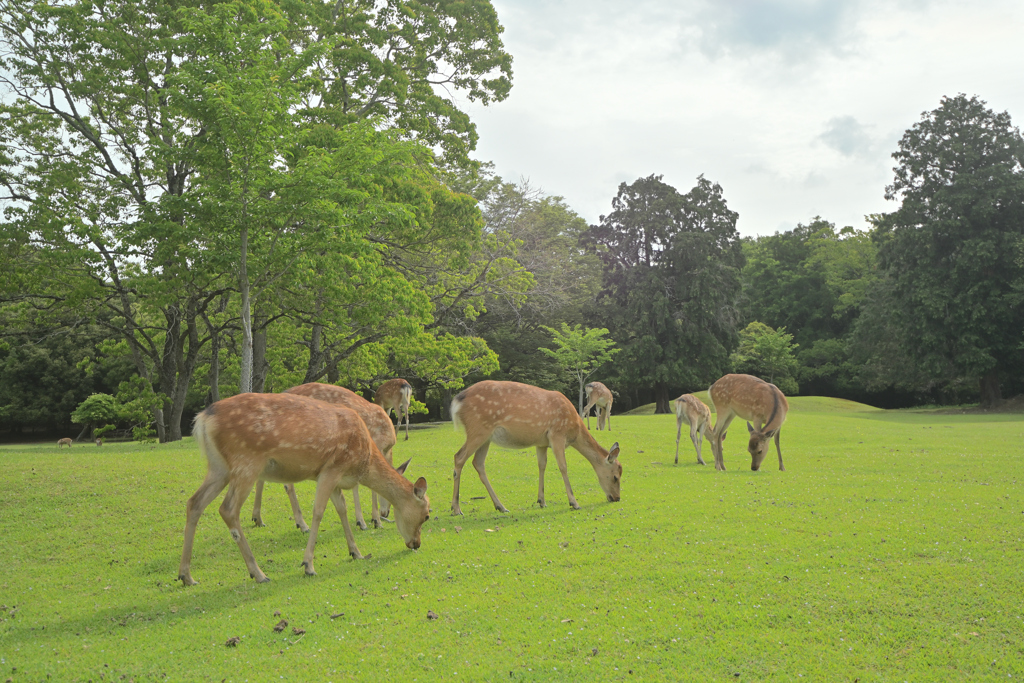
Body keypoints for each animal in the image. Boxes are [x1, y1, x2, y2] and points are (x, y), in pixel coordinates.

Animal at [180, 393, 428, 585]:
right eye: (426, 515)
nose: (416, 544)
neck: (363, 461)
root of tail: (202, 419)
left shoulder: (335, 476)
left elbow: (342, 509)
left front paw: (356, 552)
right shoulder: (331, 468)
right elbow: (319, 512)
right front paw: (308, 564)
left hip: (218, 467)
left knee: (194, 502)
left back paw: (186, 576)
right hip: (246, 462)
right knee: (228, 509)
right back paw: (258, 573)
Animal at [450, 378, 622, 518]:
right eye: (615, 476)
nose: (617, 498)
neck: (574, 430)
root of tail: (457, 401)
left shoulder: (541, 443)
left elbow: (542, 465)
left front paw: (541, 501)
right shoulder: (557, 434)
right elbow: (563, 466)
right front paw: (574, 503)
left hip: (486, 437)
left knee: (478, 463)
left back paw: (500, 506)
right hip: (478, 429)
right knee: (459, 457)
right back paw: (456, 508)